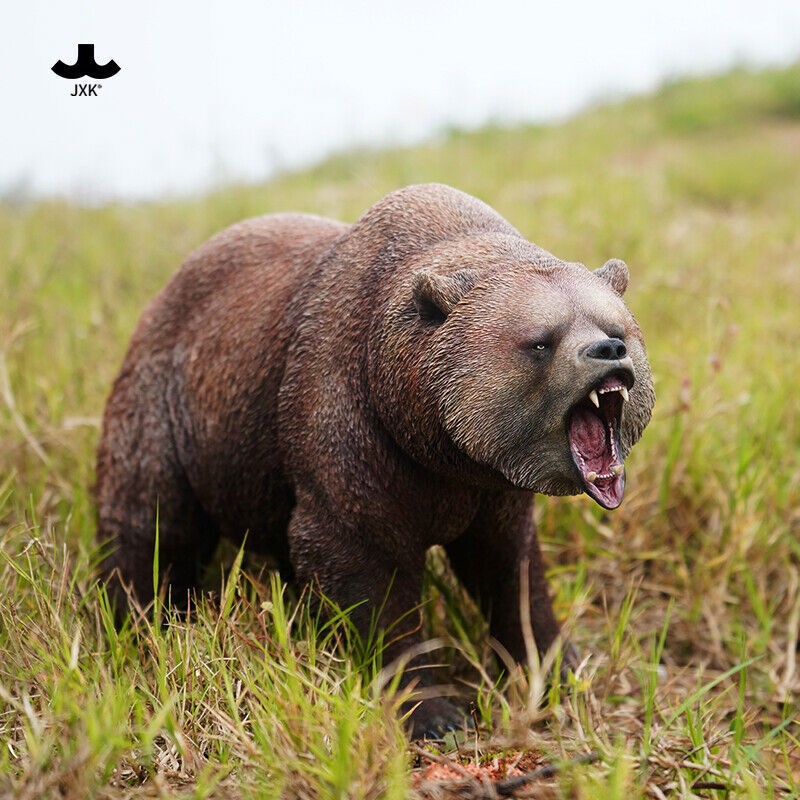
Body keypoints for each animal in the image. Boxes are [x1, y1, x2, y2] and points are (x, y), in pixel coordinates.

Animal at [95, 183, 654, 737]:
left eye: (615, 326)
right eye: (541, 342)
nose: (608, 350)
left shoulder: (493, 489)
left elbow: (509, 571)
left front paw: (559, 671)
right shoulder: (352, 435)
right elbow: (366, 574)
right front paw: (435, 712)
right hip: (169, 408)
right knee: (150, 520)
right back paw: (133, 619)